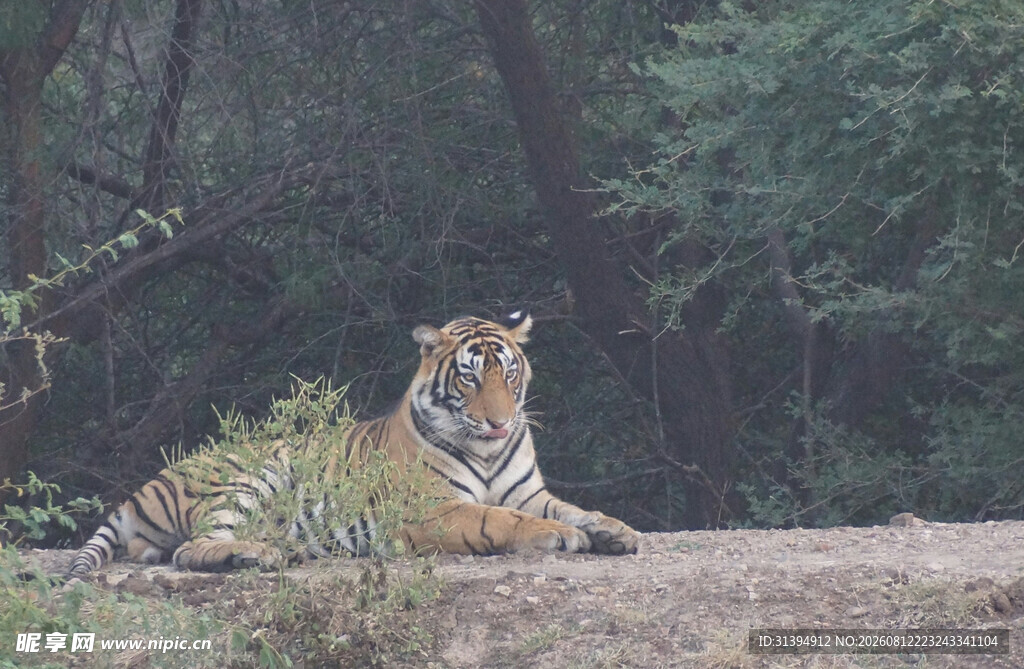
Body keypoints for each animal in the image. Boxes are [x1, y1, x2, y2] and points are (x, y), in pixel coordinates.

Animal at [67, 311, 639, 576]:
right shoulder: (431, 508)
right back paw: (259, 554)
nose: (500, 423)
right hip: (246, 476)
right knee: (192, 548)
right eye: (471, 378)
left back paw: (286, 549)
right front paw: (560, 536)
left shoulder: (529, 491)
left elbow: (570, 508)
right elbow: (500, 519)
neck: (489, 448)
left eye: (510, 374)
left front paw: (616, 530)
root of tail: (142, 489)